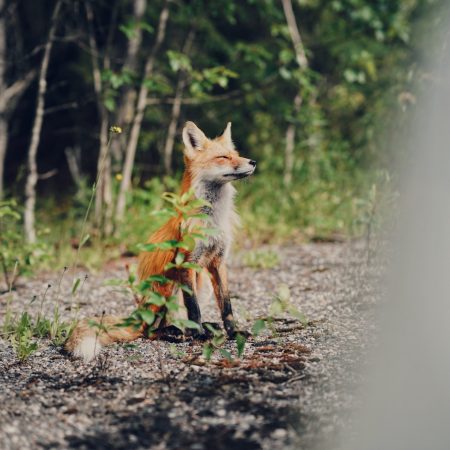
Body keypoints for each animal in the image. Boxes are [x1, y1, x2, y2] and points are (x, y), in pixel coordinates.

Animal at [66, 121, 256, 360]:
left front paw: (233, 333)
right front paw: (199, 335)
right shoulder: (186, 263)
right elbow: (193, 308)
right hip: (168, 287)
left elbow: (226, 306)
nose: (253, 162)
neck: (212, 219)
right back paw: (176, 333)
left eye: (236, 155)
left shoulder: (218, 263)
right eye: (223, 157)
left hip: (201, 282)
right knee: (150, 330)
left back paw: (201, 328)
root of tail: (139, 312)